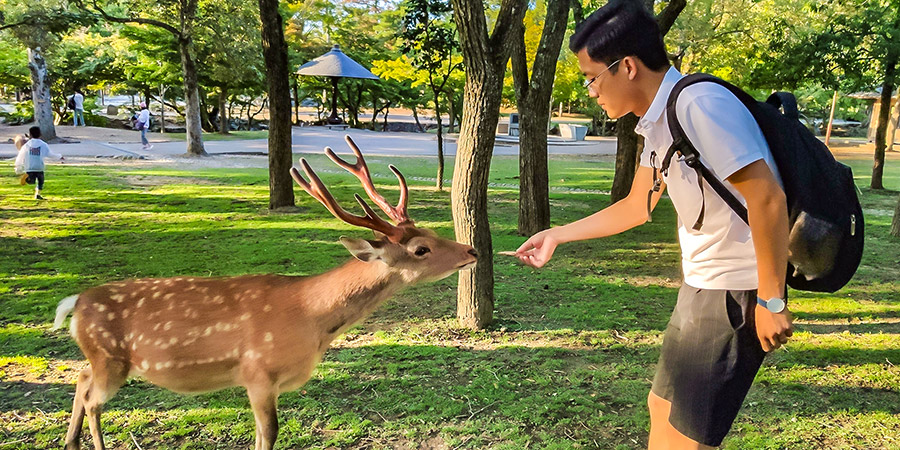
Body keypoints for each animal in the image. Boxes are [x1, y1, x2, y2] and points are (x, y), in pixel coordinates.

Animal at [51, 135, 478, 448]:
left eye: (431, 231)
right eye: (420, 249)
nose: (471, 250)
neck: (310, 319)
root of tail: (75, 303)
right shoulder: (257, 372)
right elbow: (269, 435)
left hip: (103, 360)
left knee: (80, 379)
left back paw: (71, 442)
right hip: (111, 359)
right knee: (91, 397)